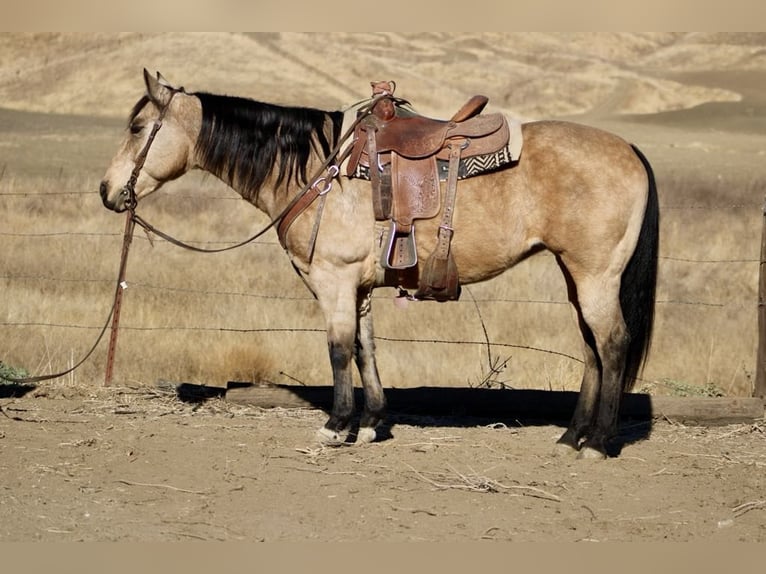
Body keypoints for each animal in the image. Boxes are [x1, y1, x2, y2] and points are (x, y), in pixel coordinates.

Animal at [100, 70, 658, 459]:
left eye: (137, 126)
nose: (108, 191)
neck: (317, 169)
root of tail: (629, 148)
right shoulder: (361, 285)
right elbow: (366, 348)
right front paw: (369, 424)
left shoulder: (334, 279)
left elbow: (338, 349)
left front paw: (335, 426)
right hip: (576, 274)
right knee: (590, 348)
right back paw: (570, 436)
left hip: (596, 275)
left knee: (612, 343)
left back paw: (598, 442)